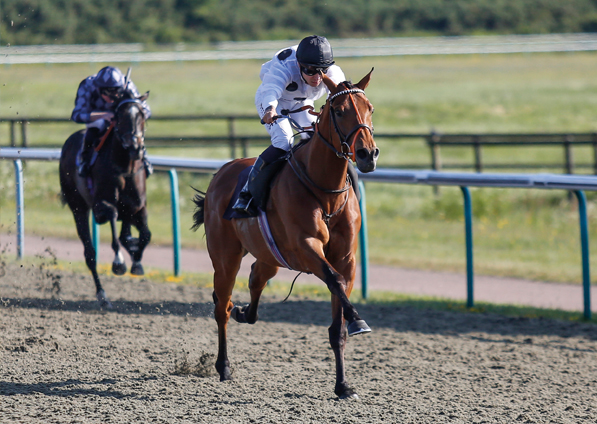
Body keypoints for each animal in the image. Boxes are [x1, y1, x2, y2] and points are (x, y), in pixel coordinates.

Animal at [59, 92, 151, 308]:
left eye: (141, 115)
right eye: (119, 117)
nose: (135, 147)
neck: (125, 168)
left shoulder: (138, 207)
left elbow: (145, 235)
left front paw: (137, 262)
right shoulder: (101, 206)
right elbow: (114, 227)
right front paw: (119, 263)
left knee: (126, 233)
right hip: (78, 207)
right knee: (90, 254)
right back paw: (102, 295)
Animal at [192, 69, 378, 398]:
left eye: (370, 108)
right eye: (339, 110)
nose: (367, 154)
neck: (325, 193)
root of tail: (220, 174)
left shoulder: (346, 258)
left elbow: (338, 321)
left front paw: (343, 385)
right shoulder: (306, 248)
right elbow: (335, 281)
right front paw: (357, 320)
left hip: (270, 257)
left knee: (255, 279)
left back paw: (244, 312)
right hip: (225, 258)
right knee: (221, 306)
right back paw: (223, 366)